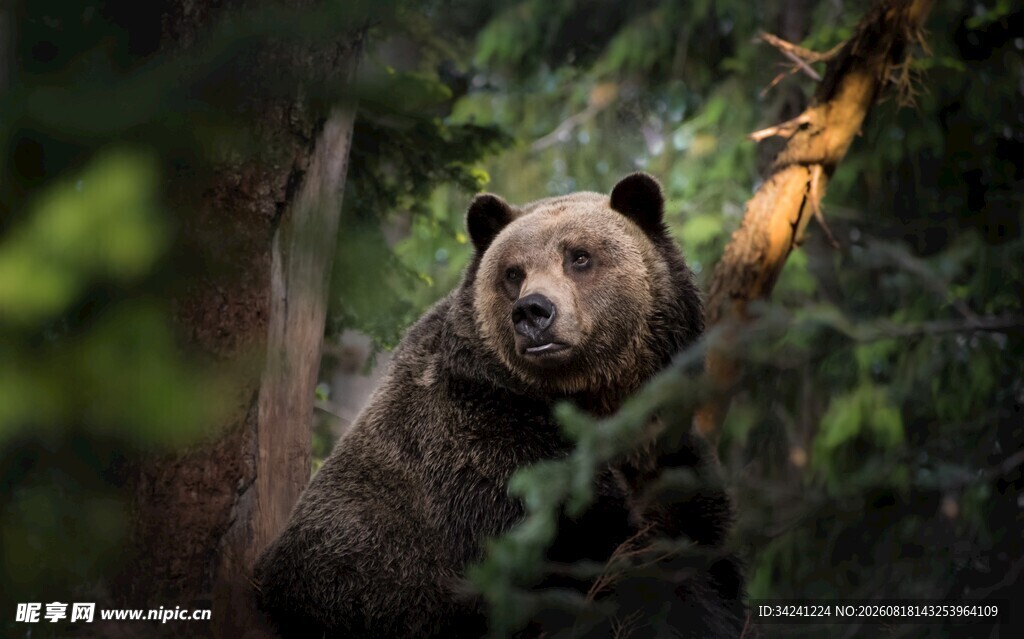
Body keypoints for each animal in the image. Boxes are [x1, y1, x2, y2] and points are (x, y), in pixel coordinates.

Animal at [252, 172, 744, 638]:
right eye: (513, 272)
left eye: (579, 256)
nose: (533, 311)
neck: (592, 403)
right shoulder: (486, 455)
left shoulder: (669, 458)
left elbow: (703, 555)